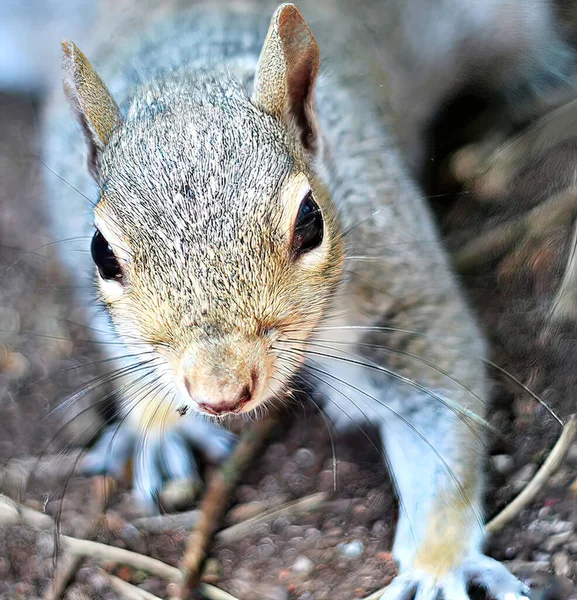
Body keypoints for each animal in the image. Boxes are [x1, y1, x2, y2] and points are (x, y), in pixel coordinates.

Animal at [38, 0, 572, 596]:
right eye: (101, 252)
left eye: (311, 220)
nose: (220, 395)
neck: (193, 72)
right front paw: (157, 426)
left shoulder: (404, 284)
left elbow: (437, 412)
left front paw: (439, 562)